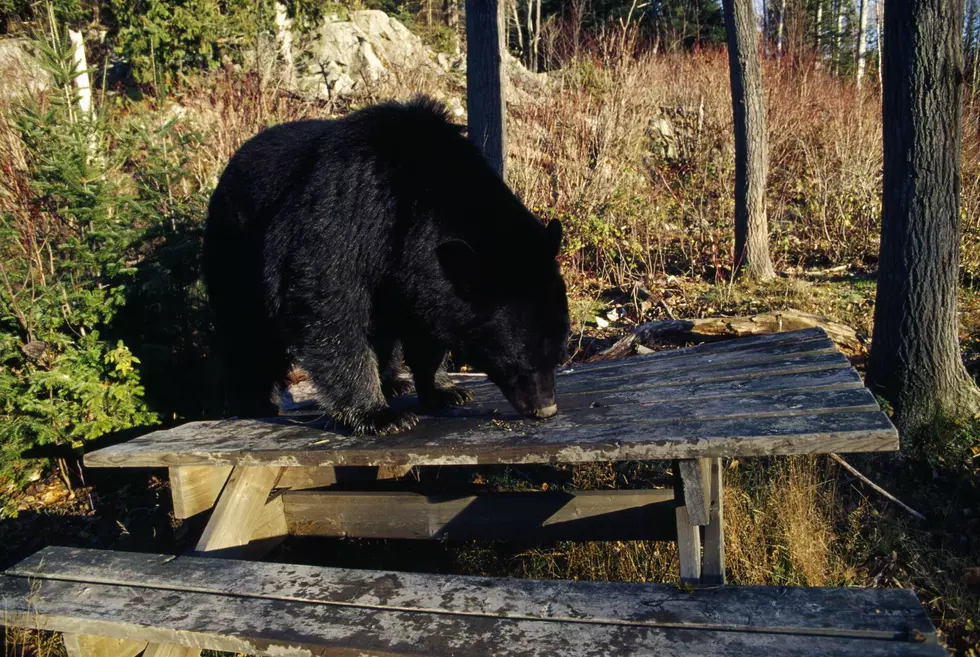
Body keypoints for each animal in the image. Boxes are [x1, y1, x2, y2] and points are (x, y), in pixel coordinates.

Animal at [206, 96, 572, 436]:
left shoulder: (418, 268)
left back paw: (395, 381)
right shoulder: (348, 212)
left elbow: (428, 321)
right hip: (236, 250)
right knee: (245, 331)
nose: (546, 408)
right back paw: (254, 402)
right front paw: (380, 416)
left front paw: (445, 390)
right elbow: (328, 303)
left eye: (558, 353)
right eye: (516, 358)